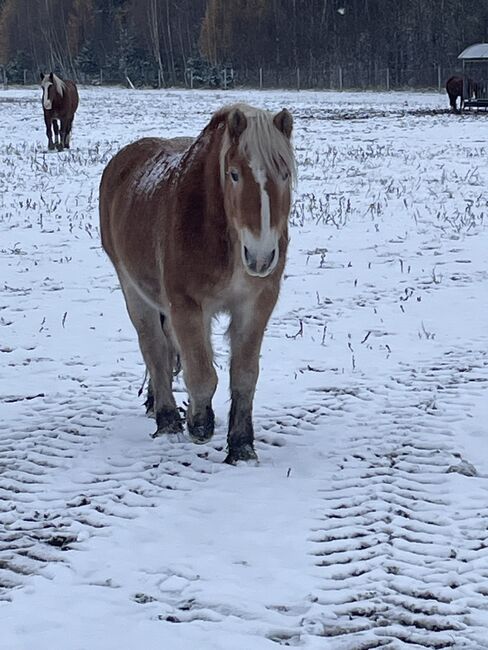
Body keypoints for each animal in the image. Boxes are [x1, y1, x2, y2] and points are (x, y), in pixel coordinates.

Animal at [99, 102, 296, 460]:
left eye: (285, 174)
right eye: (234, 174)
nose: (261, 257)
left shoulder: (256, 304)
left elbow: (244, 375)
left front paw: (241, 446)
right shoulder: (187, 306)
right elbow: (202, 374)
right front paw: (199, 424)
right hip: (134, 291)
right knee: (154, 349)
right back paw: (167, 420)